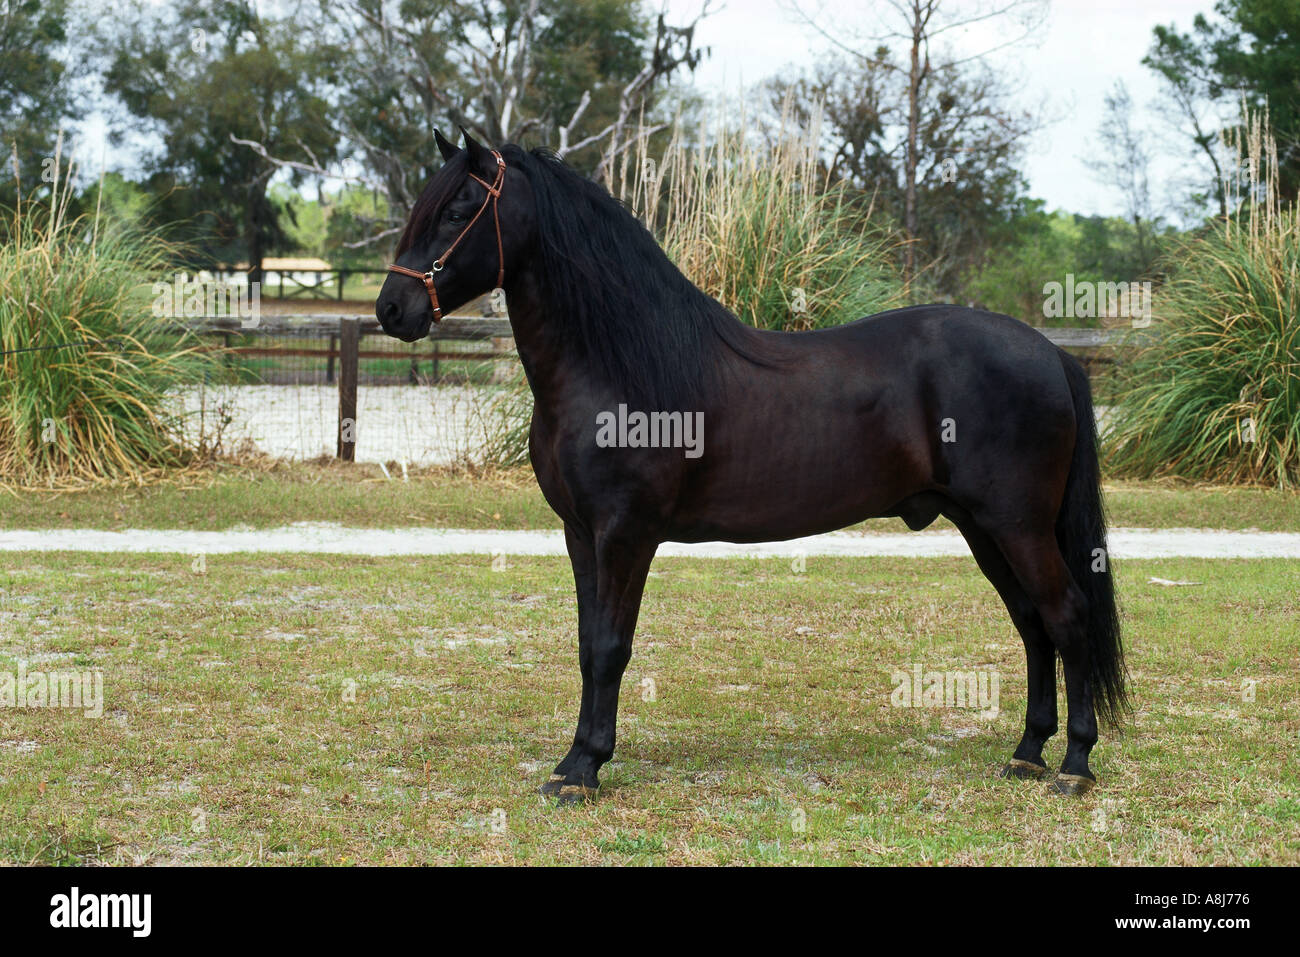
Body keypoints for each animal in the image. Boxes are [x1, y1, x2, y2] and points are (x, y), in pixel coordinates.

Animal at [375, 128, 1127, 804]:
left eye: (458, 210)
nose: (391, 308)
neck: (619, 363)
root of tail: (1050, 352)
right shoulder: (580, 532)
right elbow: (587, 644)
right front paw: (572, 762)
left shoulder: (626, 533)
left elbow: (611, 646)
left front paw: (586, 768)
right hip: (982, 525)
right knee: (1033, 623)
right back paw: (1027, 752)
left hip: (1016, 524)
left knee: (1065, 616)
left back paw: (1074, 765)